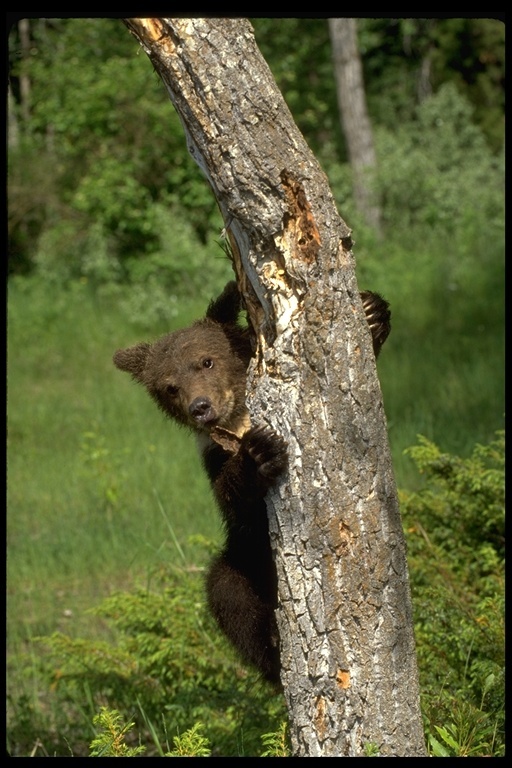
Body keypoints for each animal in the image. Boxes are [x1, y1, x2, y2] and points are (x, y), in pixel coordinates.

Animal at [114, 282, 390, 684]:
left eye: (206, 361)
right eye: (169, 386)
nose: (200, 406)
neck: (239, 420)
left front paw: (372, 311)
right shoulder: (214, 458)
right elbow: (235, 501)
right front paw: (258, 454)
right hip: (245, 561)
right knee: (226, 591)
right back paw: (272, 645)